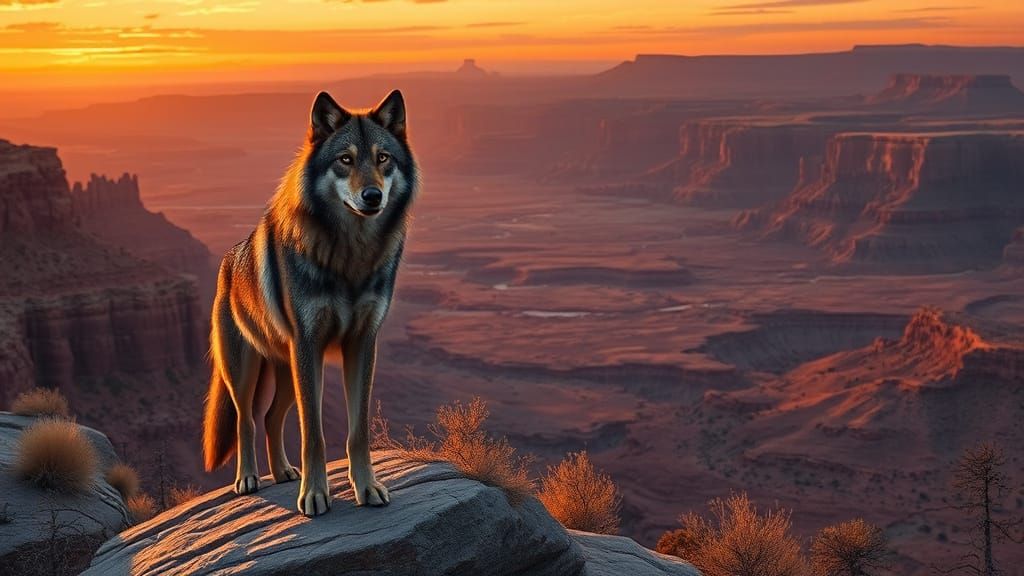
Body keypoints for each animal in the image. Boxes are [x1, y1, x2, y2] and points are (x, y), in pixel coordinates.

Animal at [202, 89, 417, 516]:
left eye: (383, 158)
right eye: (345, 159)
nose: (373, 196)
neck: (351, 255)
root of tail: (227, 264)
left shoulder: (362, 344)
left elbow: (357, 430)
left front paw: (367, 487)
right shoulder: (309, 345)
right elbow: (313, 433)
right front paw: (316, 495)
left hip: (288, 370)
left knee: (271, 418)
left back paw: (284, 472)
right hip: (247, 370)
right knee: (246, 421)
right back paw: (248, 479)